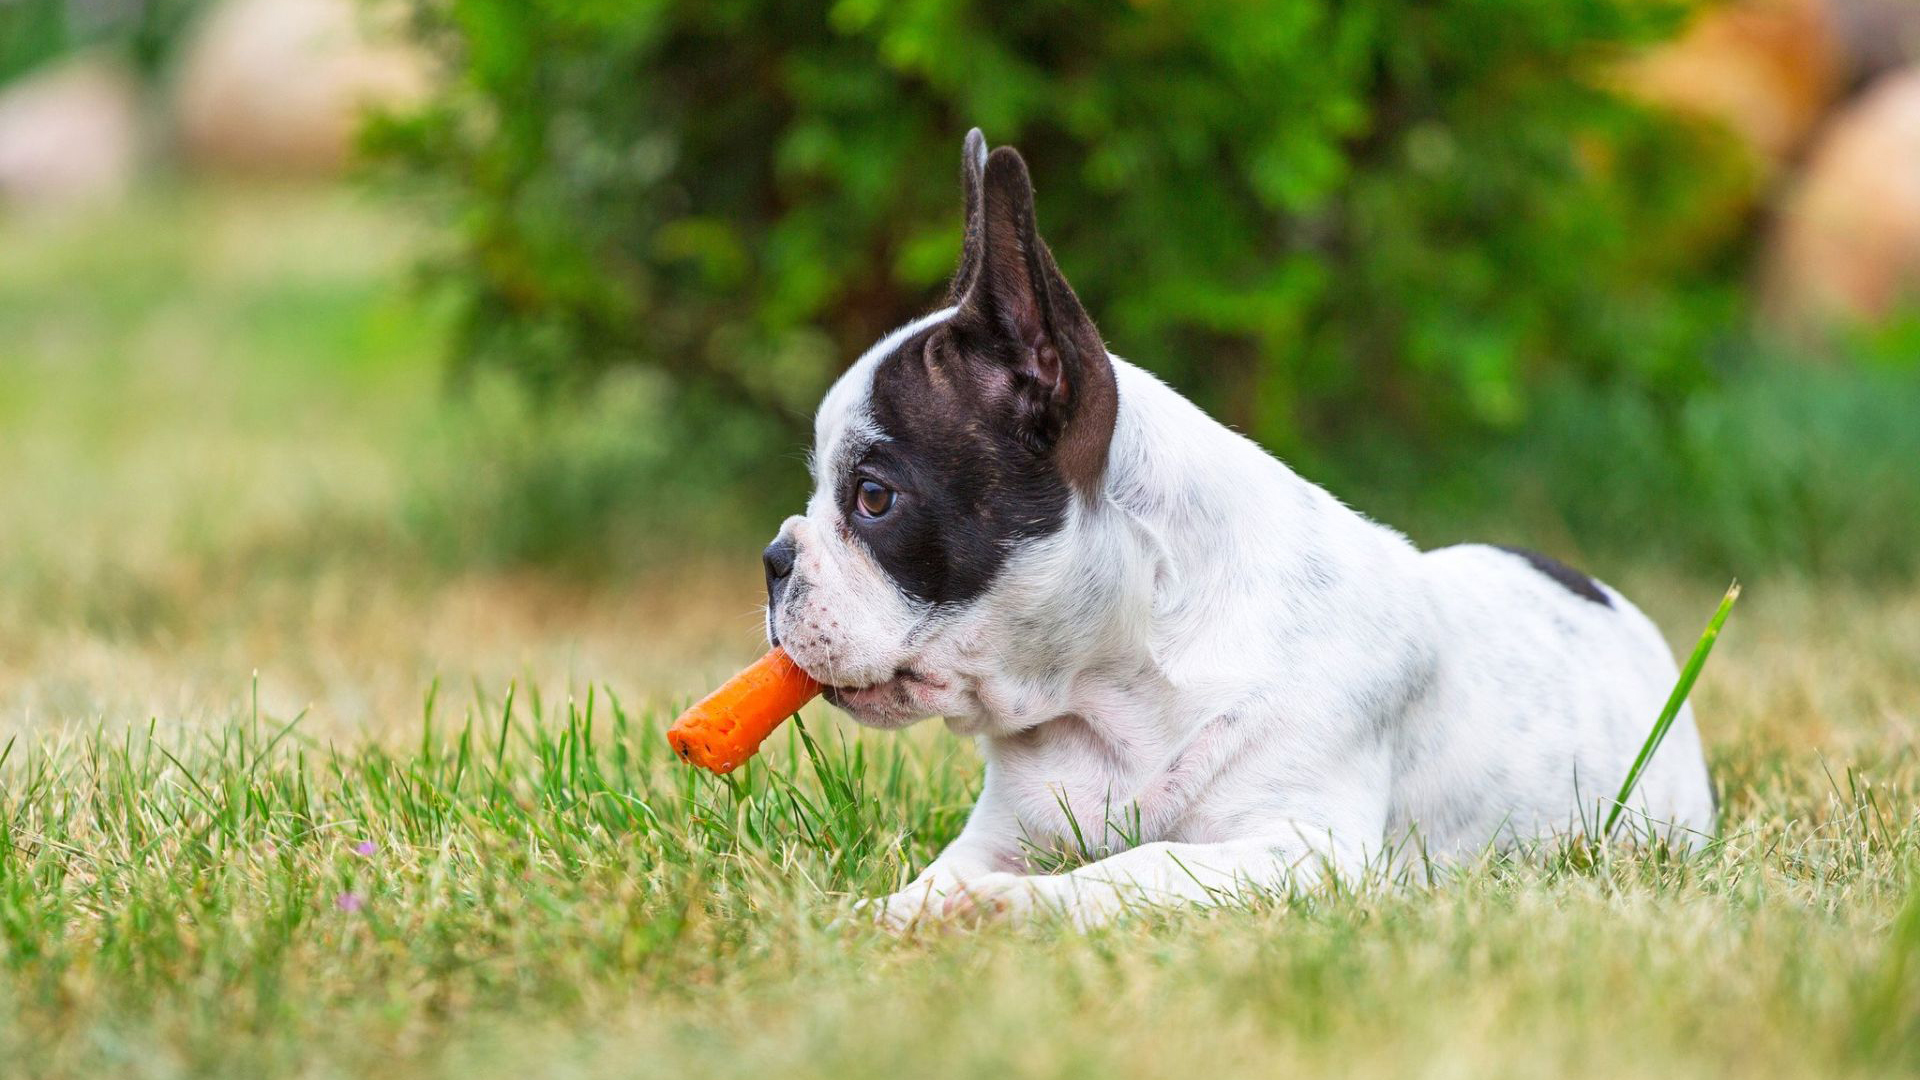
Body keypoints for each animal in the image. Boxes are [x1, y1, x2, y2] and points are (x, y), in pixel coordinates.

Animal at [756, 127, 1720, 926]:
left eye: (873, 498)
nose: (773, 559)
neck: (1110, 695)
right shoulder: (998, 833)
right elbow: (942, 874)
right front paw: (893, 912)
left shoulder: (1304, 852)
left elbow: (1140, 865)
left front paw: (1010, 907)